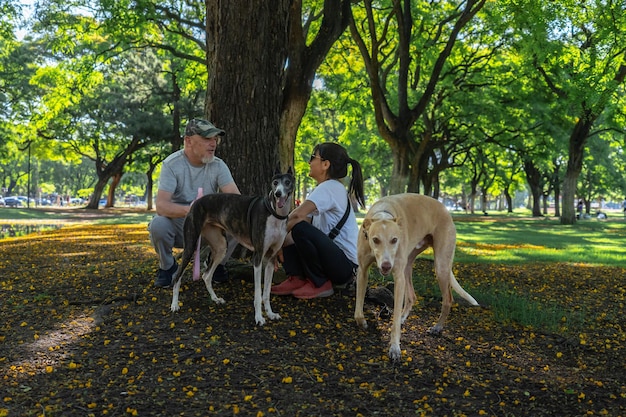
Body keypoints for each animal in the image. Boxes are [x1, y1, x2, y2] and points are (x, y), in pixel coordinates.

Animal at [169, 167, 294, 324]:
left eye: (287, 182)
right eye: (275, 182)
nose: (278, 193)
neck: (274, 212)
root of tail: (196, 202)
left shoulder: (271, 258)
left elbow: (266, 293)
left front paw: (271, 314)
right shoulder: (257, 258)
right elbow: (258, 294)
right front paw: (259, 317)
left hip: (221, 247)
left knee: (206, 275)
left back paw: (215, 299)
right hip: (190, 246)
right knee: (177, 277)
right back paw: (174, 305)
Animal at [352, 193, 478, 360]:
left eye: (394, 240)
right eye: (375, 239)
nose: (386, 266)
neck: (383, 214)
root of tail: (444, 208)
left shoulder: (398, 277)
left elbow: (394, 322)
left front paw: (395, 348)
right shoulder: (362, 271)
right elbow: (358, 309)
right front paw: (362, 322)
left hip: (440, 265)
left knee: (448, 299)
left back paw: (437, 327)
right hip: (408, 265)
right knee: (412, 297)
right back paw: (403, 318)